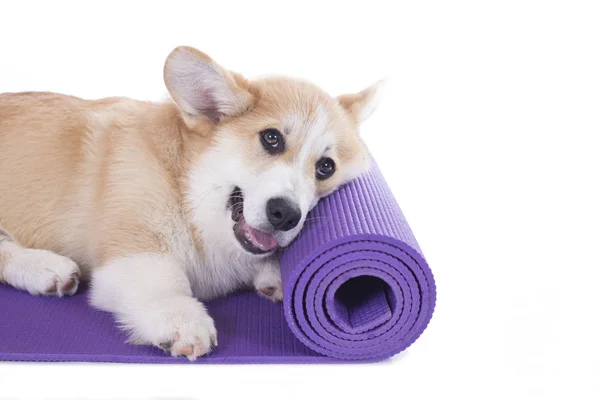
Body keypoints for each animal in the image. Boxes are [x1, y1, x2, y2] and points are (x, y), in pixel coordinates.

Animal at [0, 46, 384, 360]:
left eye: (326, 167)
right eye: (271, 138)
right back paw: (46, 267)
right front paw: (181, 319)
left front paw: (273, 273)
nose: (286, 215)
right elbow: (165, 282)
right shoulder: (135, 248)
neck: (189, 191)